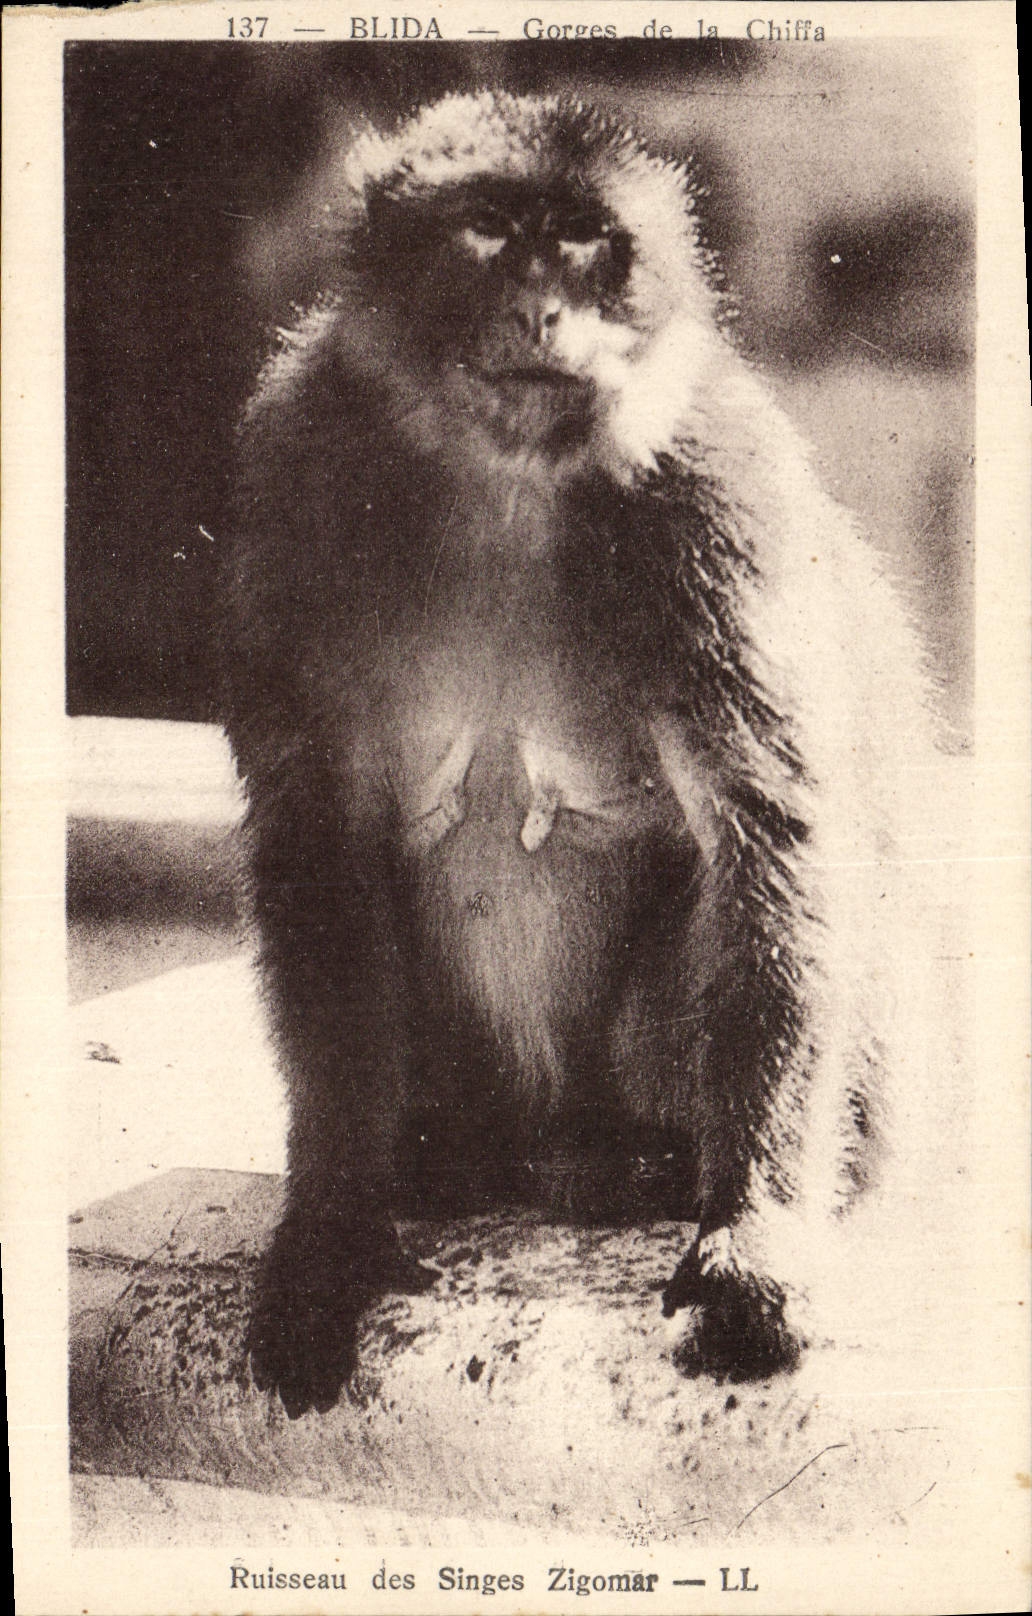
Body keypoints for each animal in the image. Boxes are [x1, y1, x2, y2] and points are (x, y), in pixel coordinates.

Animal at [222, 91, 938, 1420]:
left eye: (586, 238)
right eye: (492, 226)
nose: (547, 309)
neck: (505, 476)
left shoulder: (717, 484)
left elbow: (771, 829)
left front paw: (753, 1233)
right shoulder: (297, 468)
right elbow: (320, 843)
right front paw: (335, 1217)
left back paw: (651, 1163)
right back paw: (443, 1160)